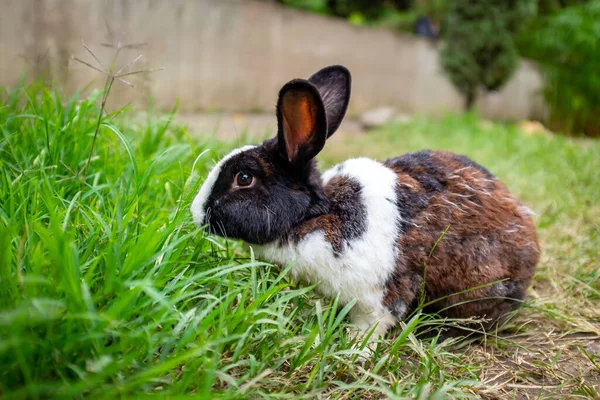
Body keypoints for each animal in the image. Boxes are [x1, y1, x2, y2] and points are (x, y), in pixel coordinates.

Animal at [191, 65, 540, 346]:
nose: (196, 212)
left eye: (244, 177)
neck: (314, 218)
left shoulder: (378, 295)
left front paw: (355, 346)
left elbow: (375, 321)